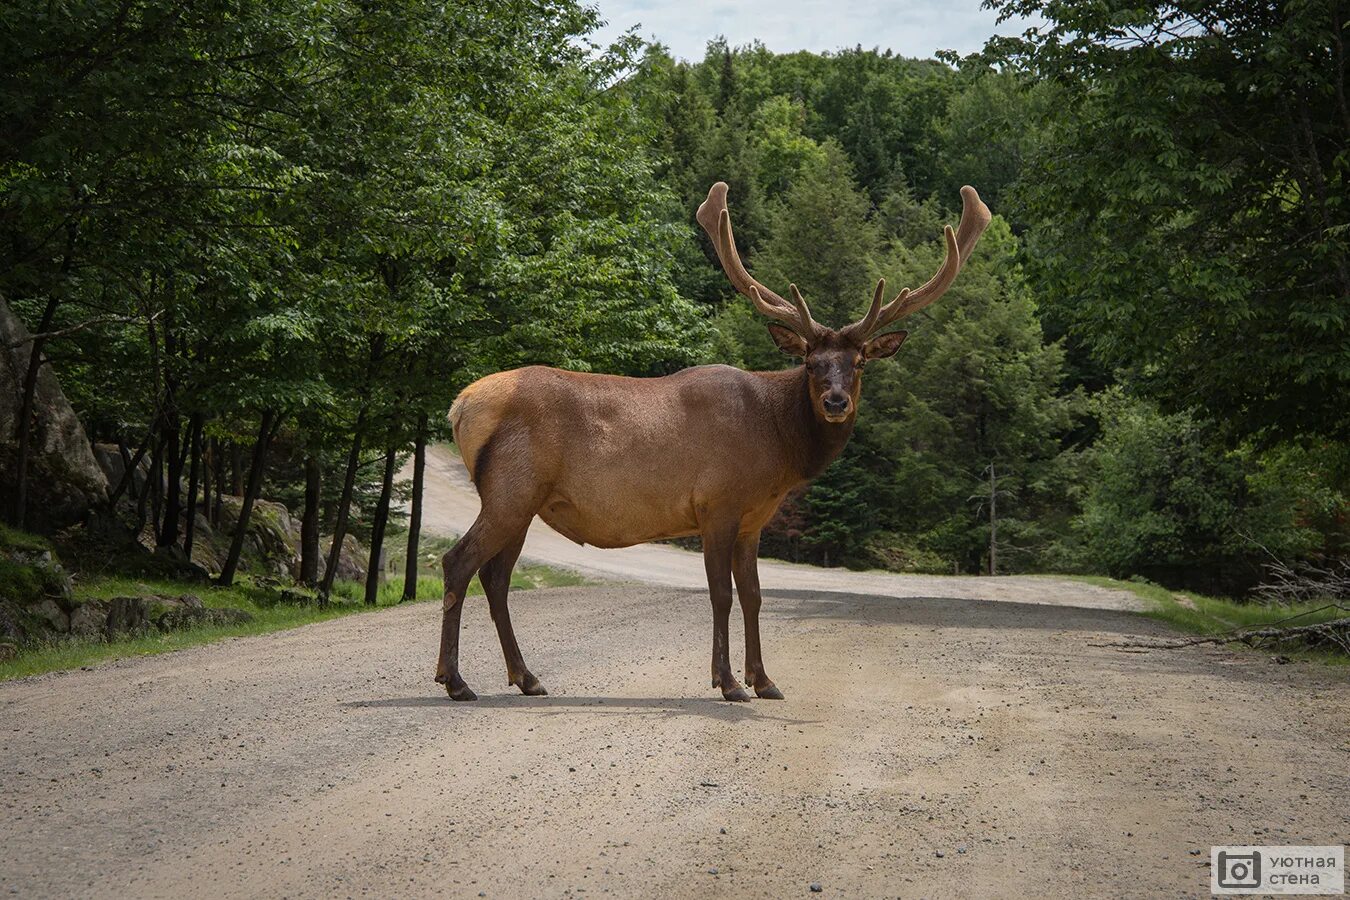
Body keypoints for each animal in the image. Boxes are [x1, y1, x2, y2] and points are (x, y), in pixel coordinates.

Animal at [437, 180, 988, 701]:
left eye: (859, 364)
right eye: (811, 362)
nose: (835, 402)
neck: (778, 448)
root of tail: (460, 406)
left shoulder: (753, 519)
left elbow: (755, 595)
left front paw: (765, 679)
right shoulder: (716, 503)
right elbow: (721, 594)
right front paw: (728, 682)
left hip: (524, 501)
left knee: (496, 577)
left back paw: (526, 677)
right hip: (510, 489)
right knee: (458, 562)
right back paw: (455, 680)